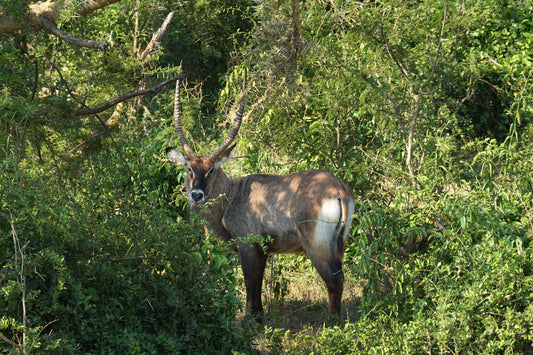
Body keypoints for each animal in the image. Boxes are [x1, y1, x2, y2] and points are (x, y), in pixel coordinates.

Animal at [166, 80, 354, 318]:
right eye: (189, 168)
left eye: (211, 170)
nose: (197, 195)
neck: (233, 195)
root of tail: (338, 188)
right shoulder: (263, 250)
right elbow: (258, 283)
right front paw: (259, 315)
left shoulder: (248, 246)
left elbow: (250, 283)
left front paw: (250, 318)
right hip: (338, 245)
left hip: (317, 246)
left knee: (334, 281)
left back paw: (332, 322)